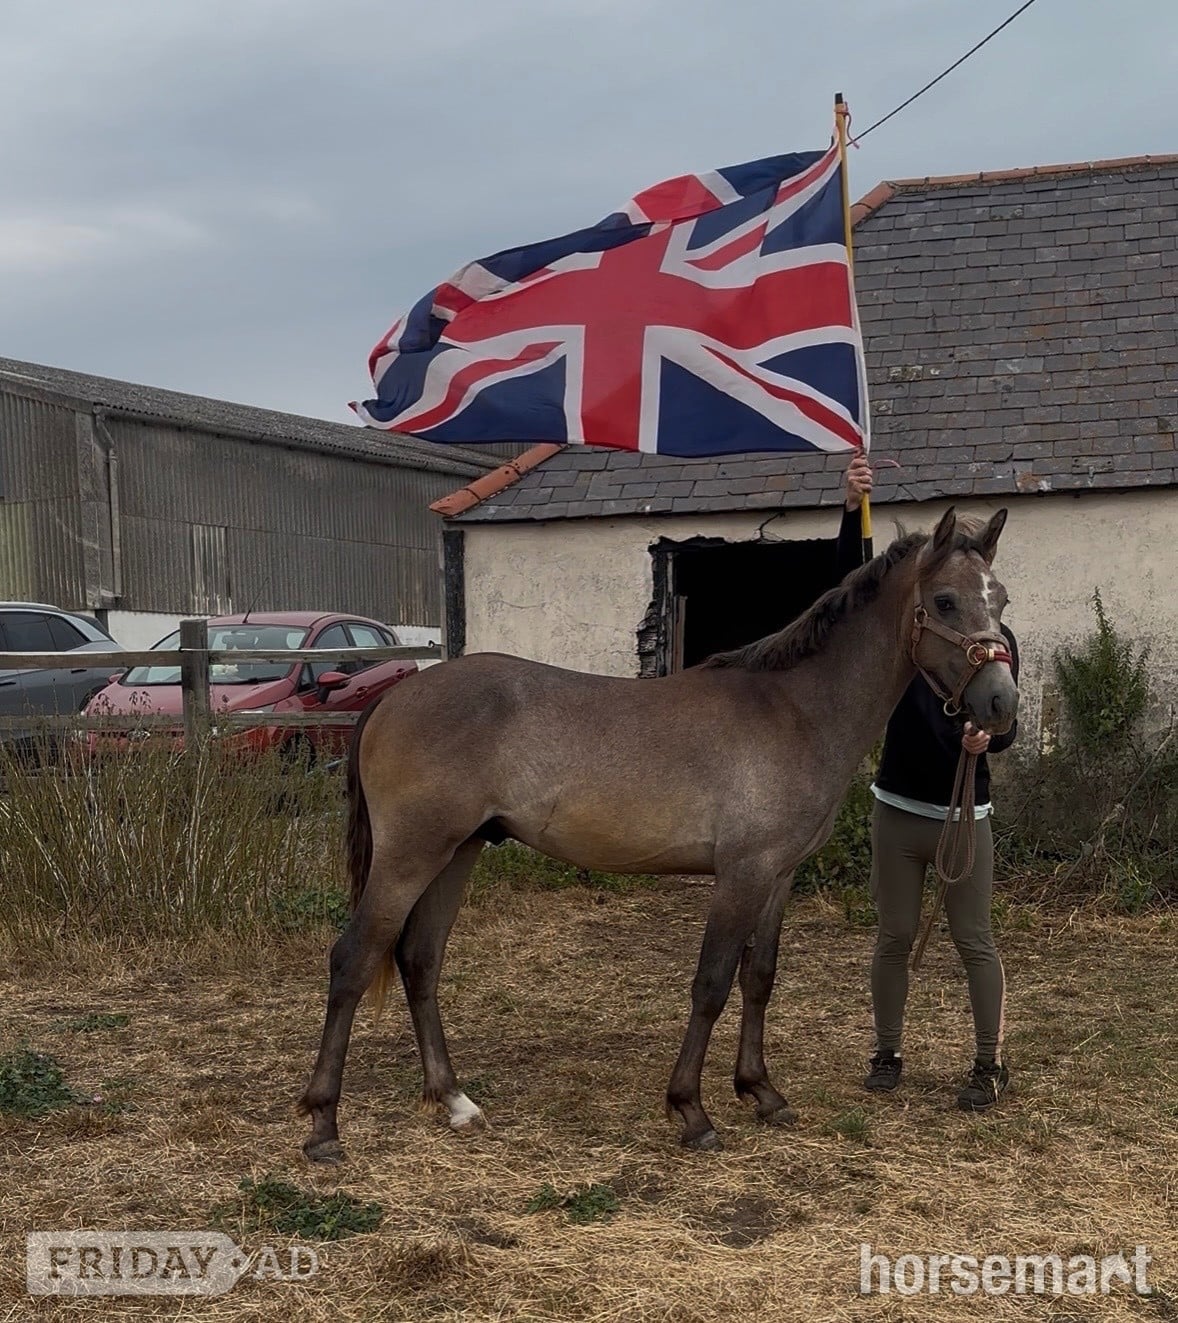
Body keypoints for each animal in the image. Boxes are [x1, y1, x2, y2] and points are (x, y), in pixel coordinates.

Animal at [298, 507, 1018, 1159]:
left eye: (1001, 598)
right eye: (946, 600)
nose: (1000, 704)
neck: (793, 710)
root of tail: (392, 697)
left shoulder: (778, 874)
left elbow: (759, 977)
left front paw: (762, 1092)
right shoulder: (741, 874)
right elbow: (711, 984)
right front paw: (692, 1111)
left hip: (457, 852)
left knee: (420, 959)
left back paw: (454, 1100)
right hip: (410, 856)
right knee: (354, 959)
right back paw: (324, 1125)